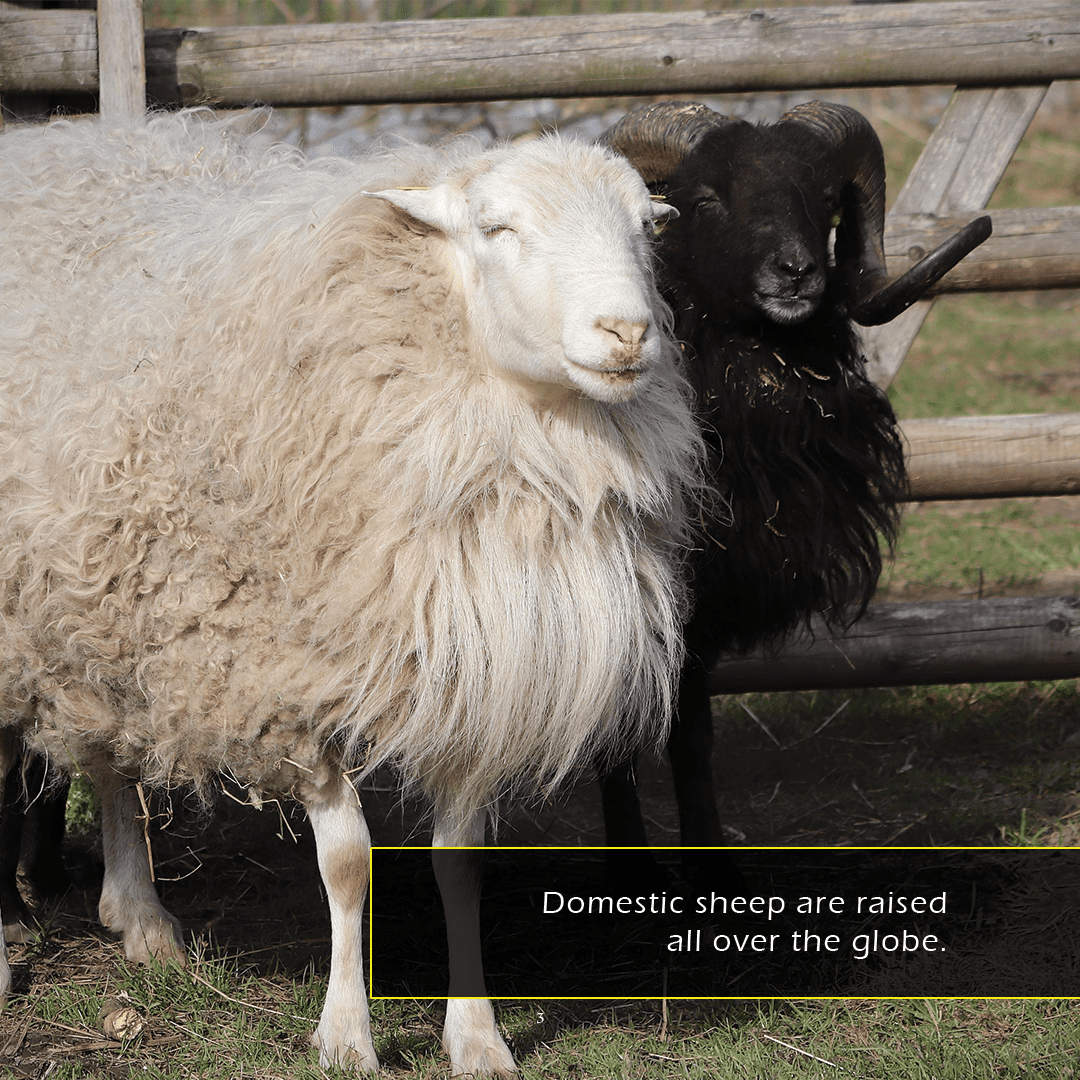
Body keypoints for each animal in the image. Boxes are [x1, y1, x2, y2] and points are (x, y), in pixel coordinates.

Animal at [0, 110, 701, 1075]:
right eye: (499, 228)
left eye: (646, 228)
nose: (627, 332)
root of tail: (49, 140)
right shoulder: (285, 675)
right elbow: (347, 864)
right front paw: (346, 1034)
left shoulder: (468, 675)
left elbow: (460, 860)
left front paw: (476, 1037)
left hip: (102, 592)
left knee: (110, 751)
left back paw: (139, 917)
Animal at [598, 101, 991, 879]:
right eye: (705, 198)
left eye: (822, 197)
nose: (797, 272)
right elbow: (615, 747)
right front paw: (630, 871)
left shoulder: (705, 598)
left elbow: (692, 737)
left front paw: (710, 867)